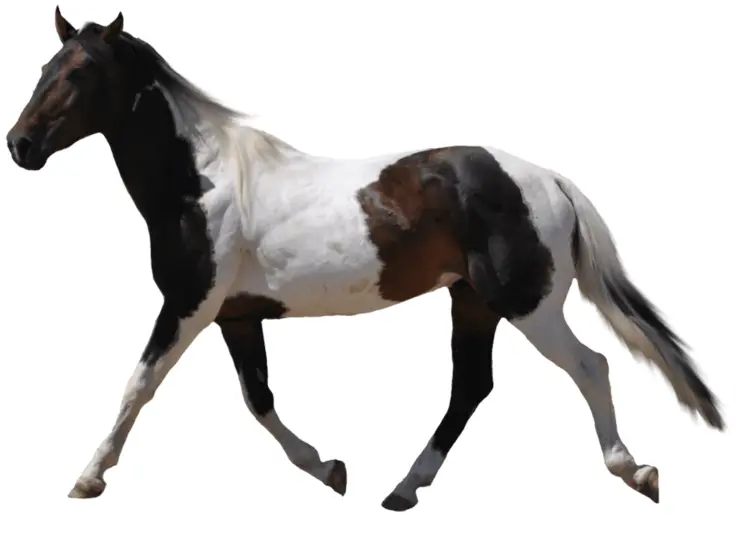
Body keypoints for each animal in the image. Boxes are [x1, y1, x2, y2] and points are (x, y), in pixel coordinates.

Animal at [6, 8, 724, 511]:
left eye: (77, 73)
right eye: (44, 68)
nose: (19, 144)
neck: (200, 183)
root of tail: (548, 179)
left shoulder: (188, 304)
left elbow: (140, 384)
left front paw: (87, 478)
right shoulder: (235, 315)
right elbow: (258, 398)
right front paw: (330, 469)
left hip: (528, 305)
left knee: (590, 366)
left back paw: (637, 471)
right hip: (473, 301)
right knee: (471, 387)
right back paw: (403, 489)